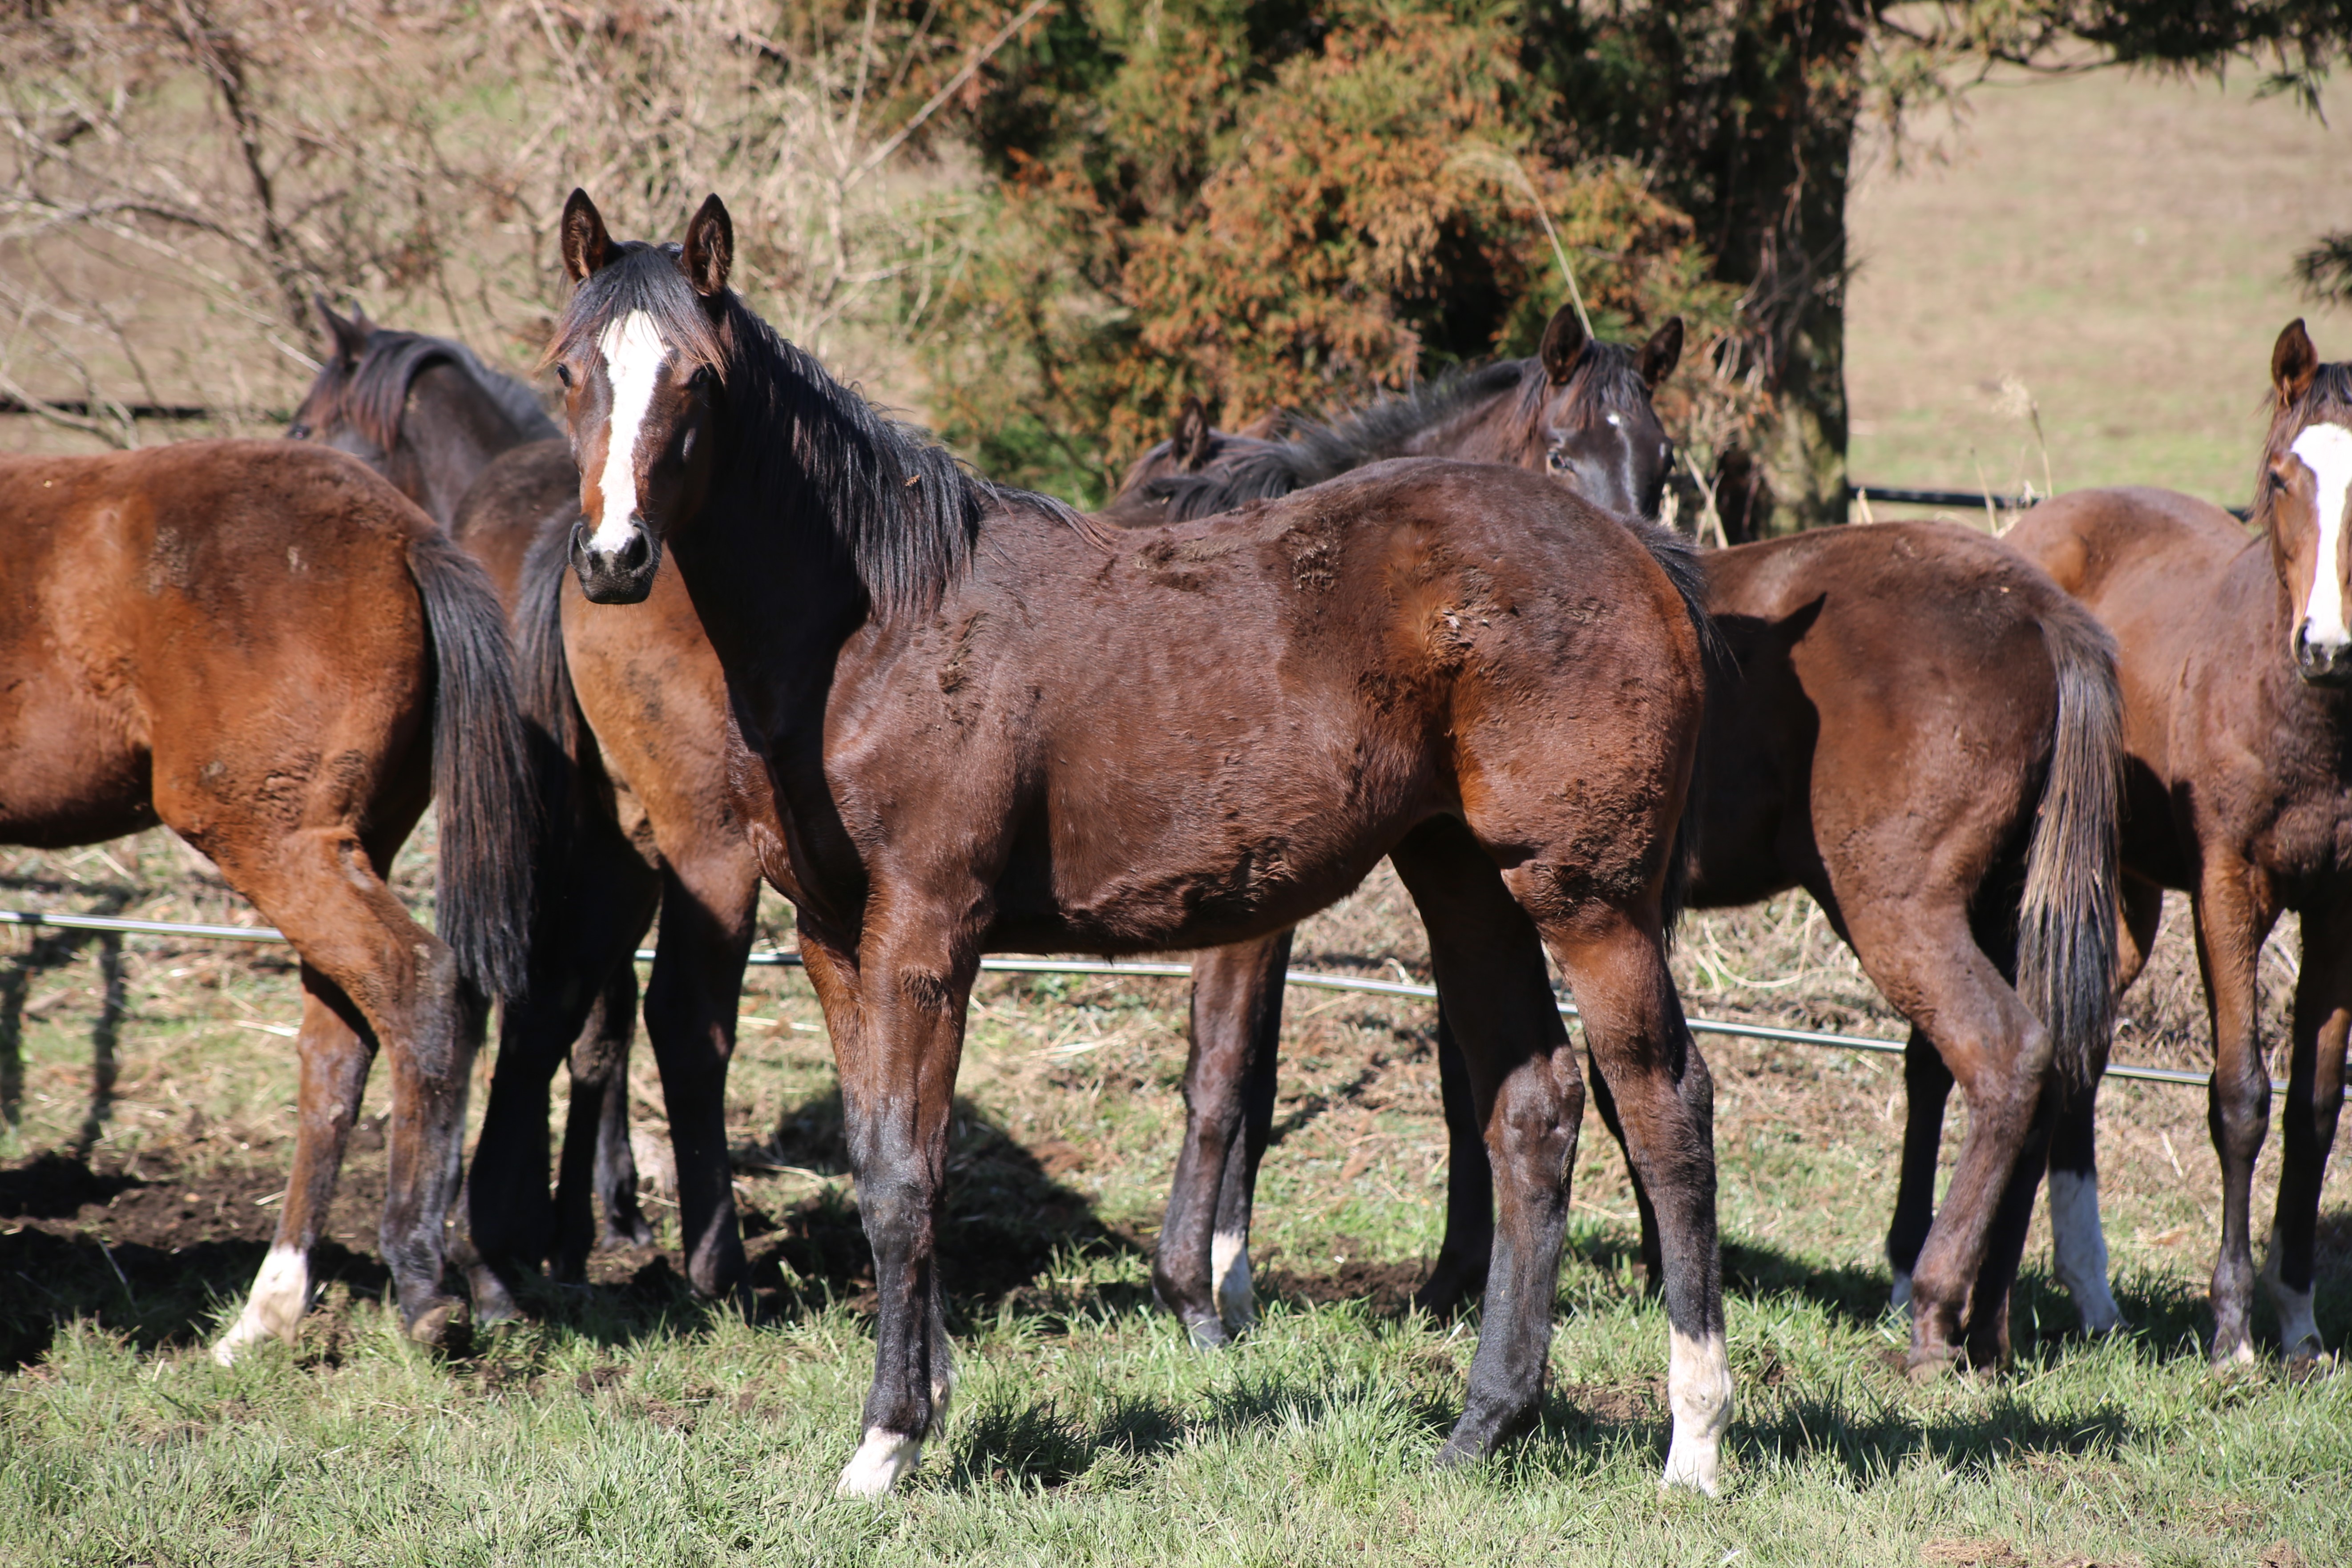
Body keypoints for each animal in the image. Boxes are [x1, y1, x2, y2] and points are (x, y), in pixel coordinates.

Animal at [0, 439, 534, 1363]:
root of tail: (403, 535)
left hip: (271, 838)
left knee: (421, 986)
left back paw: (422, 1285)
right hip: (350, 841)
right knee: (338, 1051)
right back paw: (267, 1316)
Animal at [545, 193, 1731, 1495]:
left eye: (696, 381)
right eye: (567, 371)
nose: (615, 558)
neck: (880, 622)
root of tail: (1635, 557)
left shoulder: (924, 928)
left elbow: (910, 1170)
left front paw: (888, 1438)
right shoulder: (829, 937)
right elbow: (877, 1158)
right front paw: (929, 1395)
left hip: (1587, 896)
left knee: (1662, 1100)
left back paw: (1692, 1439)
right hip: (1461, 876)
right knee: (1533, 1103)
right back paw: (1482, 1426)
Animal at [1124, 369, 2135, 1373]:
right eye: (1562, 453)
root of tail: (2038, 608)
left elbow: (1230, 1069)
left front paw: (1209, 1286)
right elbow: (1462, 1083)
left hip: (1895, 908)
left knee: (2004, 1057)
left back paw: (1931, 1308)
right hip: (1993, 906)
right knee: (2021, 1066)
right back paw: (1985, 1323)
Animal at [1957, 322, 2352, 1373]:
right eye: (2280, 476)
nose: (2326, 644)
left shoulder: (2343, 908)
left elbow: (2315, 1109)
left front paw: (2298, 1324)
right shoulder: (2227, 892)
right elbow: (2241, 1097)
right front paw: (2232, 1333)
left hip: (2120, 899)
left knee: (2075, 1057)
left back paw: (2093, 1300)